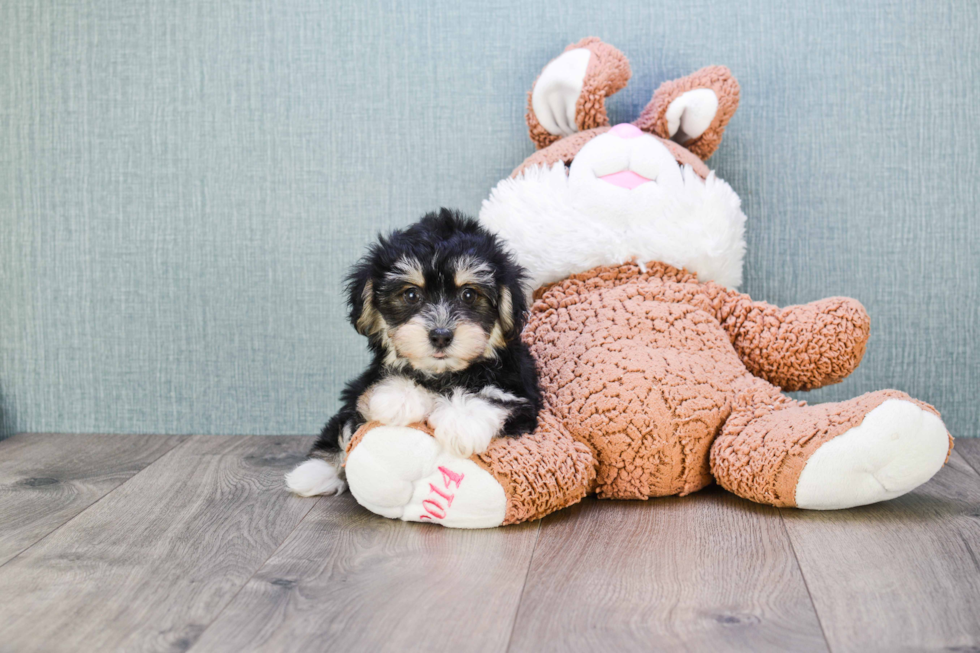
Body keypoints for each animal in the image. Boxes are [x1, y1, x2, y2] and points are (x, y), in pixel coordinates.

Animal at [288, 211, 540, 496]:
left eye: (468, 294)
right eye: (411, 294)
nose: (441, 335)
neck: (443, 375)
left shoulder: (522, 394)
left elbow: (495, 397)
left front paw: (462, 422)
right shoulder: (362, 387)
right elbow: (357, 411)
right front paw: (399, 398)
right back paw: (312, 473)